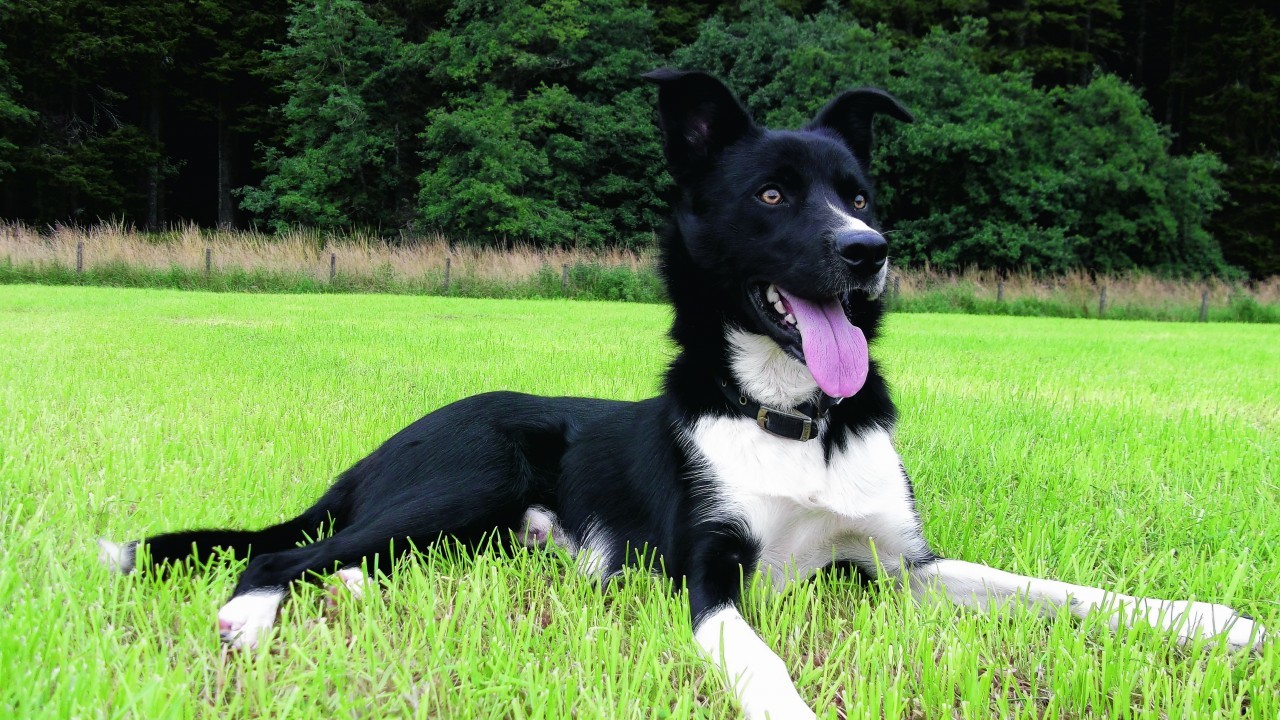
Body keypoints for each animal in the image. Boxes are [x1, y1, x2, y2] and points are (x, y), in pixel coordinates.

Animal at [97, 68, 1259, 717]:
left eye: (859, 192)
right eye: (773, 194)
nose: (869, 252)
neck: (794, 421)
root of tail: (384, 446)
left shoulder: (900, 568)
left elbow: (1053, 589)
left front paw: (1209, 619)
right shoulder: (710, 577)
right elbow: (763, 664)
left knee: (354, 557)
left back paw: (363, 596)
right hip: (473, 472)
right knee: (281, 550)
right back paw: (250, 621)